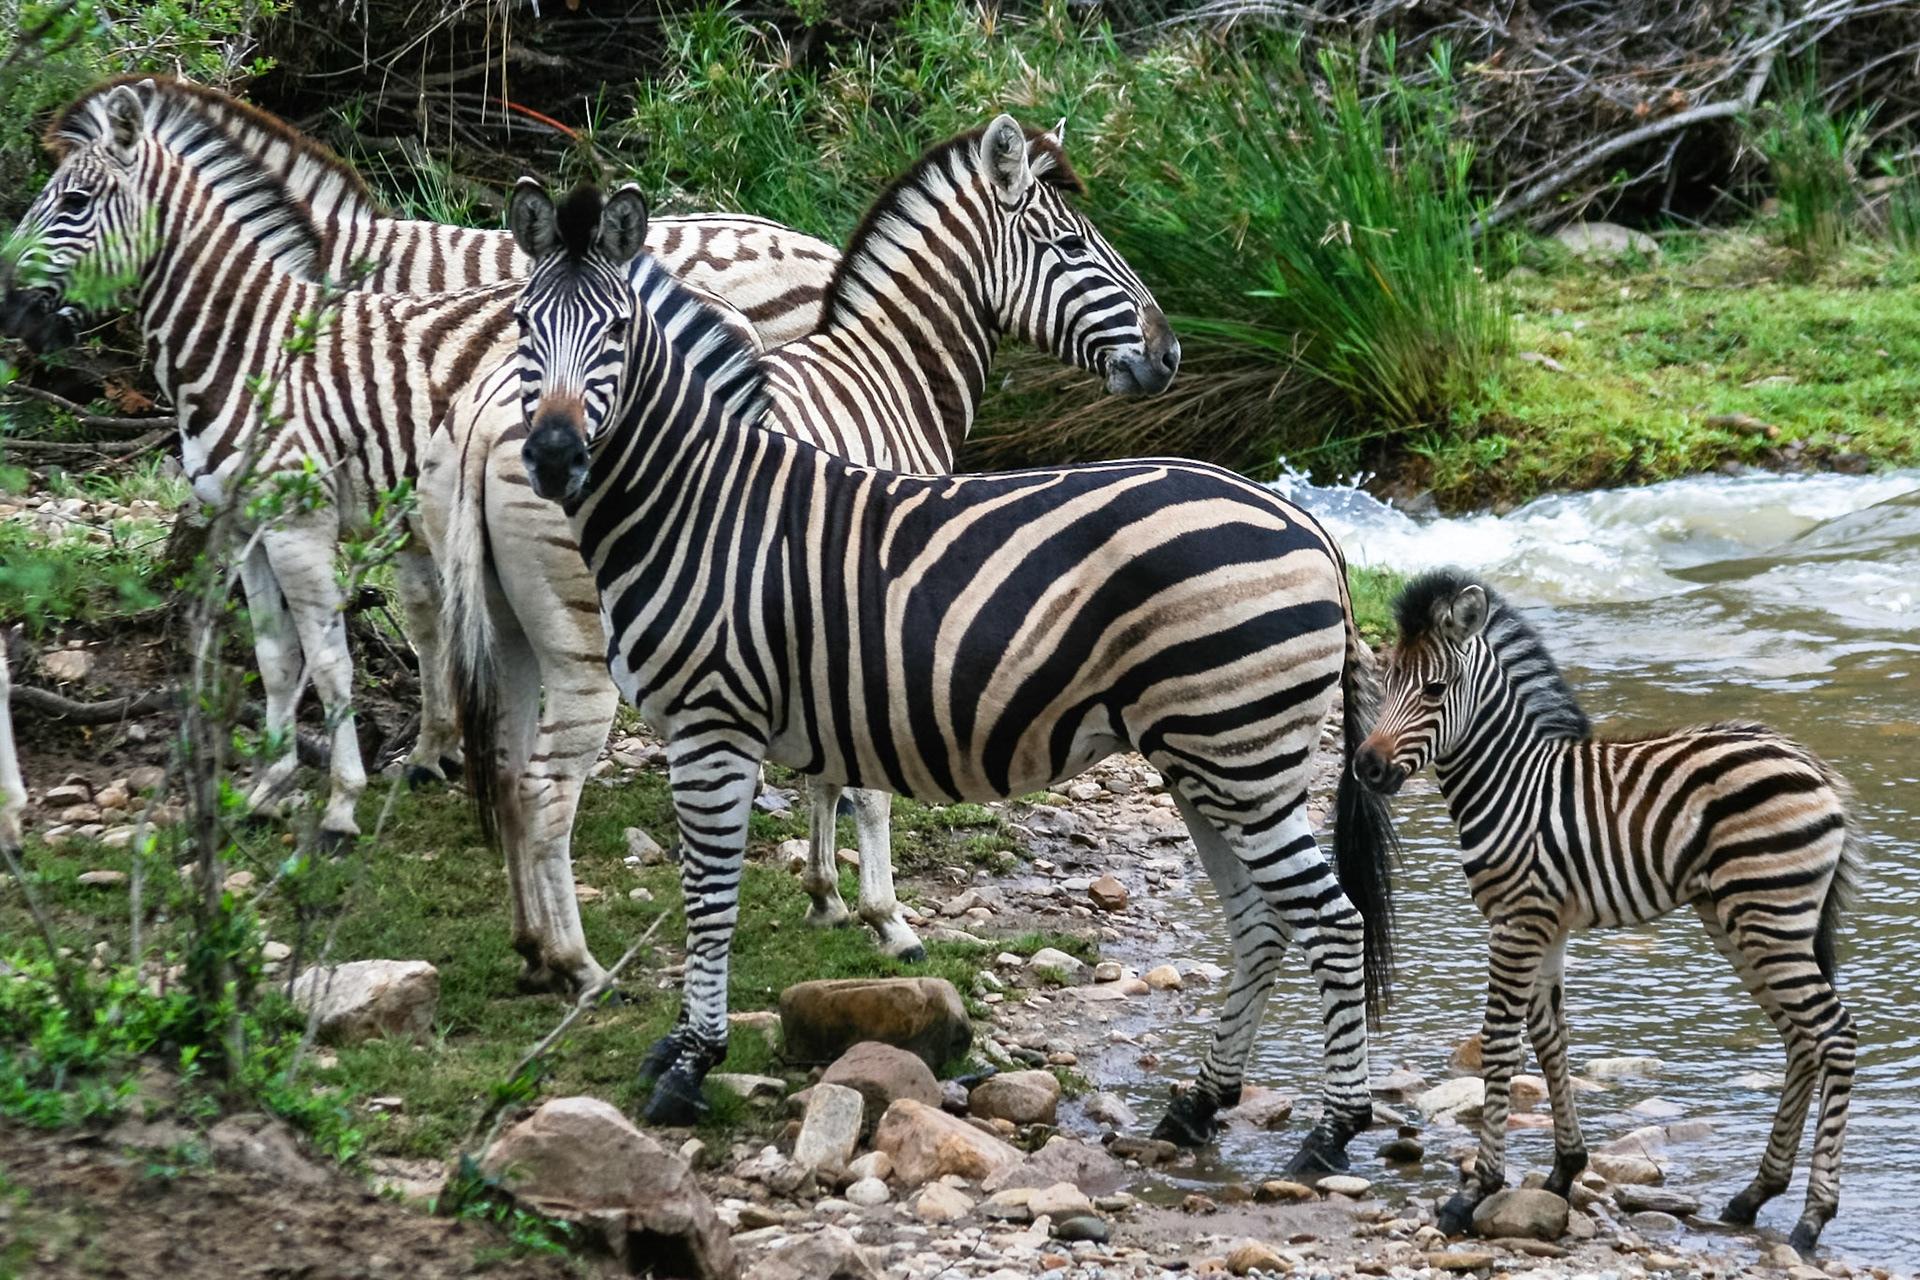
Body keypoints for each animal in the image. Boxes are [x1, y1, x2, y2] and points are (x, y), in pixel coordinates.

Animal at [0, 81, 834, 994]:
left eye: (74, 203)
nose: (11, 310)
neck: (255, 345)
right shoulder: (253, 525)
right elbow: (283, 660)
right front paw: (274, 788)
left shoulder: (304, 522)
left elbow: (333, 661)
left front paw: (344, 803)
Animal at [431, 115, 1177, 968]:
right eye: (1072, 246)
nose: (1169, 353)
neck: (889, 375)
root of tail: (486, 423)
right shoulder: (883, 596)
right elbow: (870, 786)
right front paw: (889, 919)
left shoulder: (821, 612)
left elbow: (830, 763)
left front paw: (825, 897)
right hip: (580, 636)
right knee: (546, 786)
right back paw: (576, 965)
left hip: (505, 626)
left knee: (505, 771)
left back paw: (530, 948)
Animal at [481, 182, 1399, 1177]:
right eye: (524, 325)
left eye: (614, 329)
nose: (554, 457)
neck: (697, 504)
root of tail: (1311, 528)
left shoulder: (713, 723)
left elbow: (713, 901)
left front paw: (690, 1066)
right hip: (1208, 756)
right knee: (1262, 922)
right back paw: (1198, 1104)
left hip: (1242, 751)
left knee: (1332, 921)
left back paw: (1333, 1131)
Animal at [1352, 571, 1860, 1253]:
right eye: (1383, 686)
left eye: (1433, 690)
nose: (1367, 766)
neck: (1511, 783)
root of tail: (1813, 766)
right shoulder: (1546, 924)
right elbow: (1550, 1039)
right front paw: (1565, 1171)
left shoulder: (1515, 921)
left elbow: (1500, 1044)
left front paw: (1475, 1190)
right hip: (1744, 920)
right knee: (1801, 1038)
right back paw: (1754, 1195)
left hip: (1768, 914)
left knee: (1834, 1034)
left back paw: (1812, 1217)